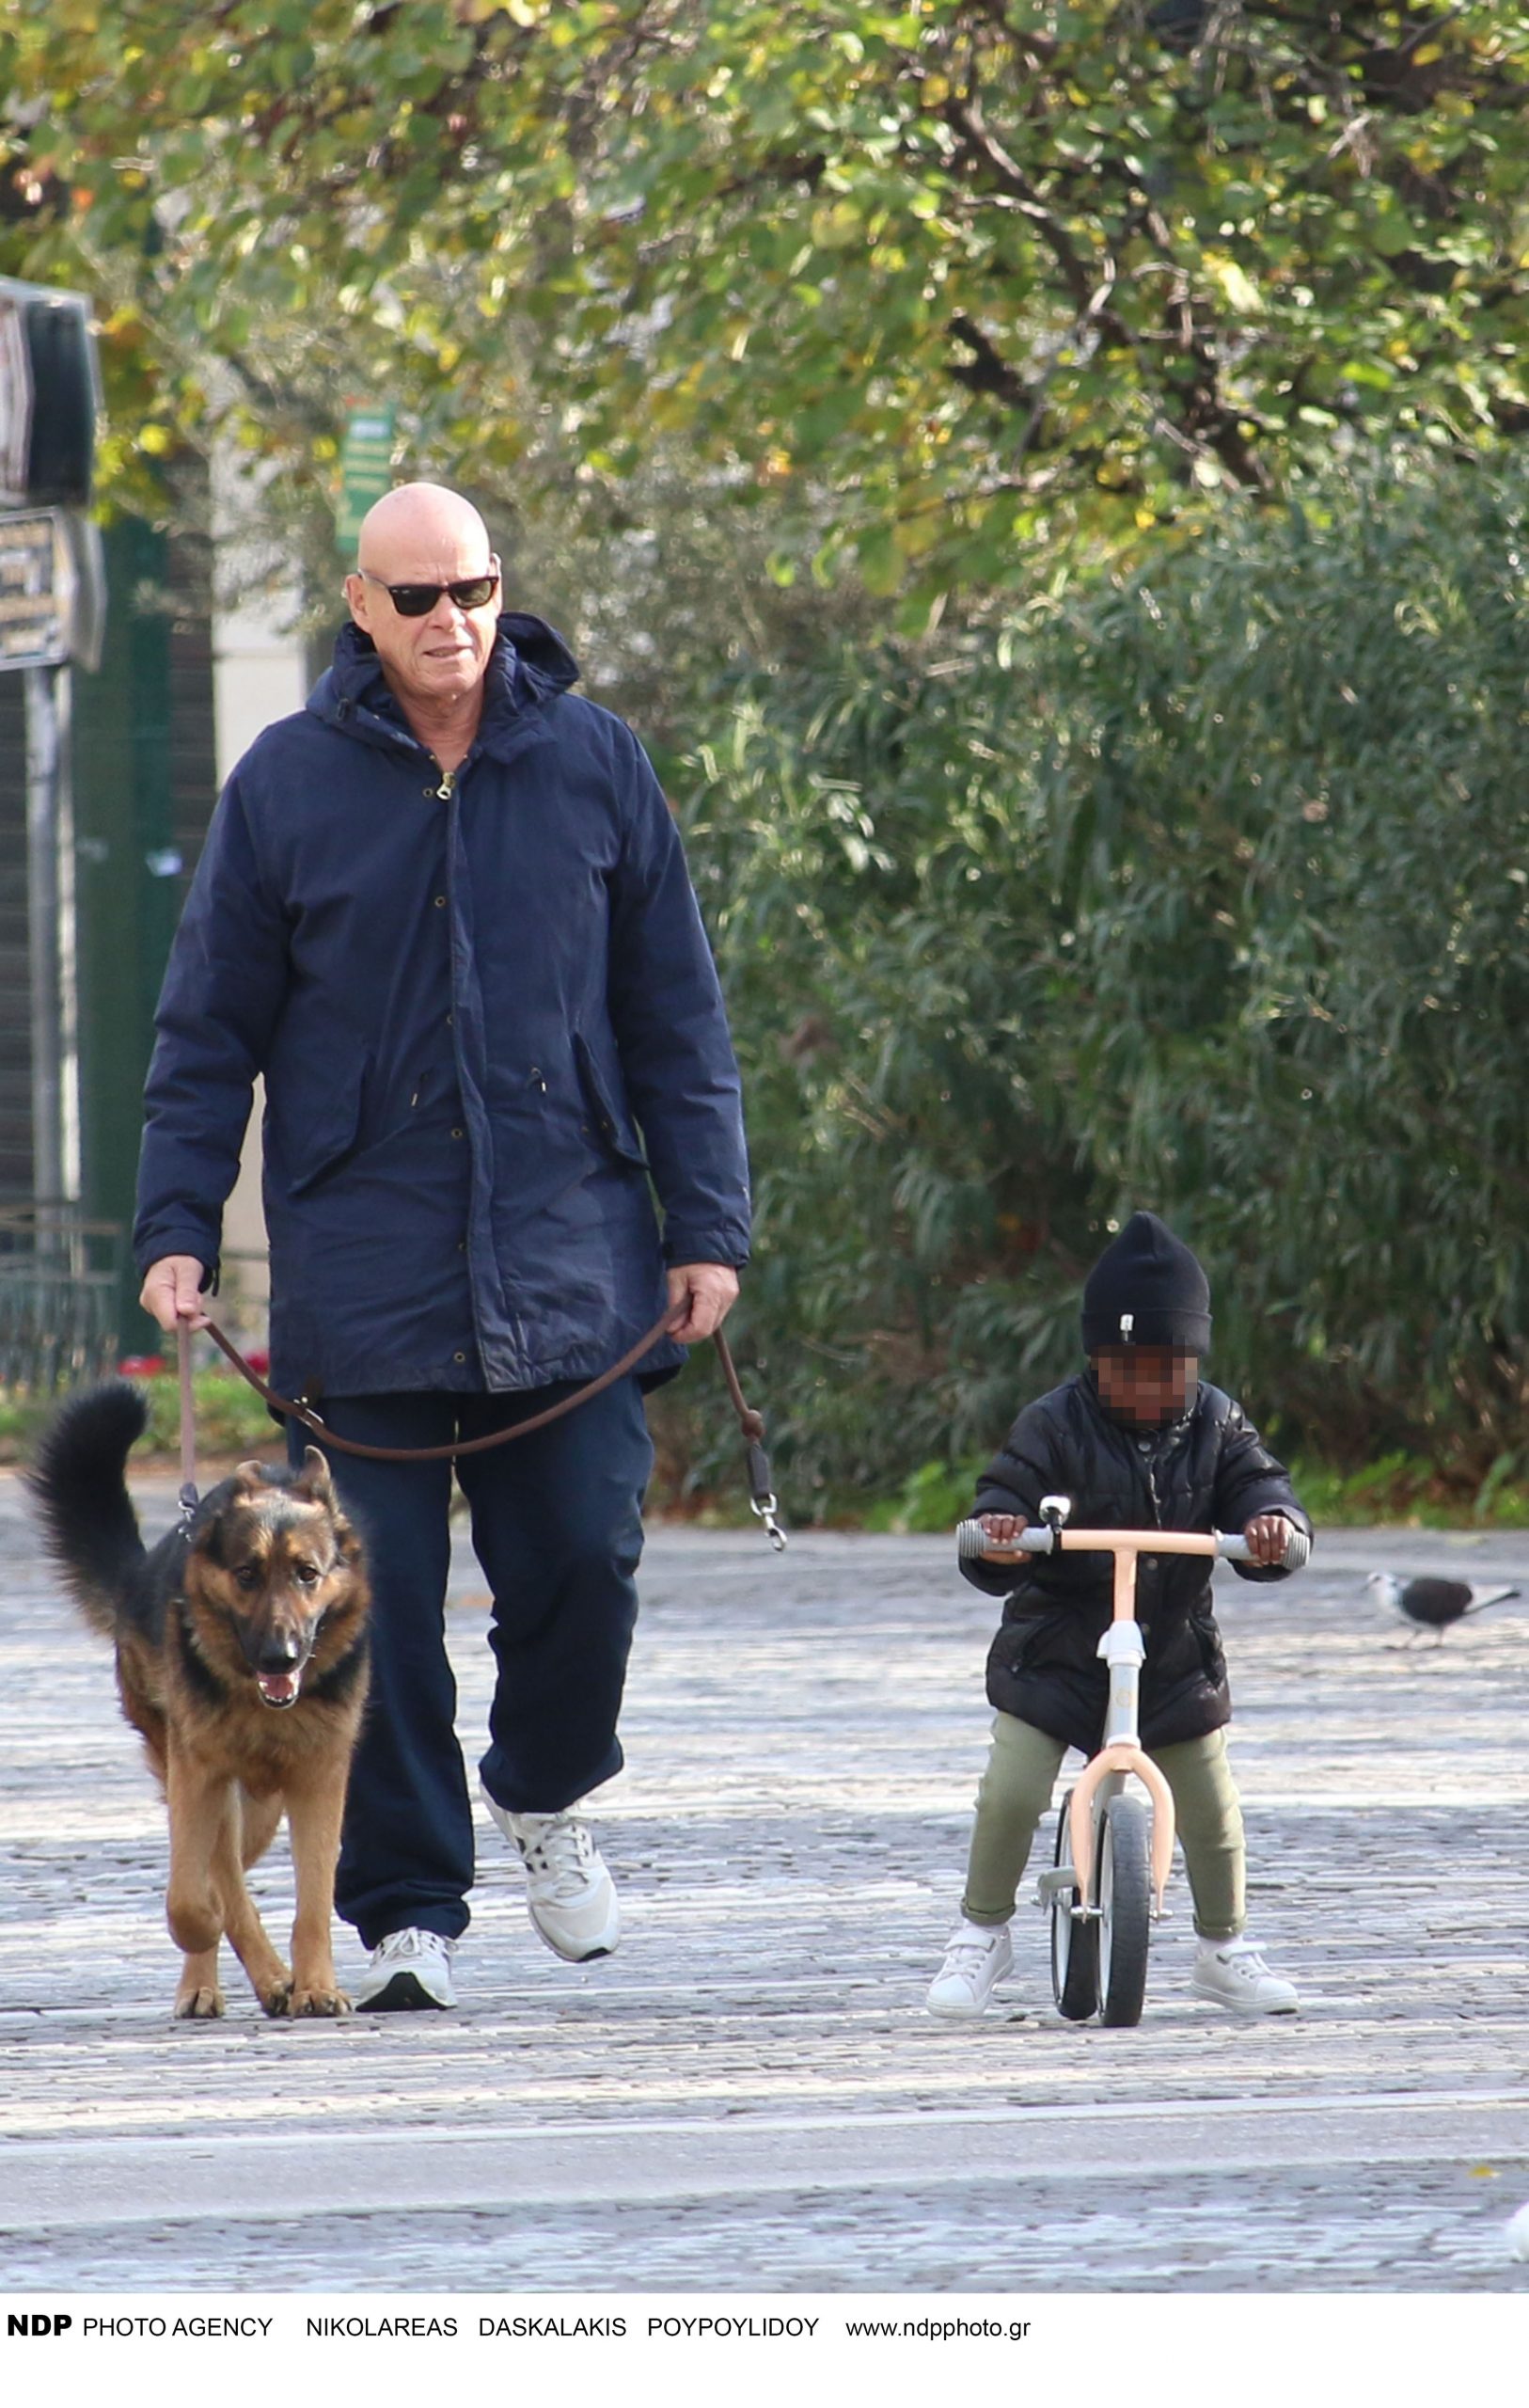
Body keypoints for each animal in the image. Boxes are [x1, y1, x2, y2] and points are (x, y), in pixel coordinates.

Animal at [30, 1386, 370, 2022]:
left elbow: (313, 1901)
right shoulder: (200, 1777)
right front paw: (219, 1939)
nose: (280, 1657)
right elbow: (193, 1900)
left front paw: (315, 1985)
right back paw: (212, 1983)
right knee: (218, 1883)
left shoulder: (318, 1782)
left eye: (307, 1574)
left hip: (259, 1812)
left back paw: (274, 1980)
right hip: (207, 1789)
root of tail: (138, 1573)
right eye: (247, 1574)